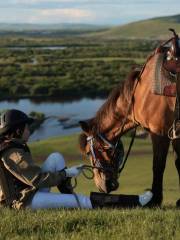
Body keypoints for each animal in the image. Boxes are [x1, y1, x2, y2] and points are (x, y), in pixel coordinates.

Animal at [79, 29, 180, 205]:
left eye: (88, 153)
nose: (102, 186)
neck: (140, 93)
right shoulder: (174, 132)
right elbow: (179, 163)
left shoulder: (159, 132)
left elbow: (158, 166)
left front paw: (155, 199)